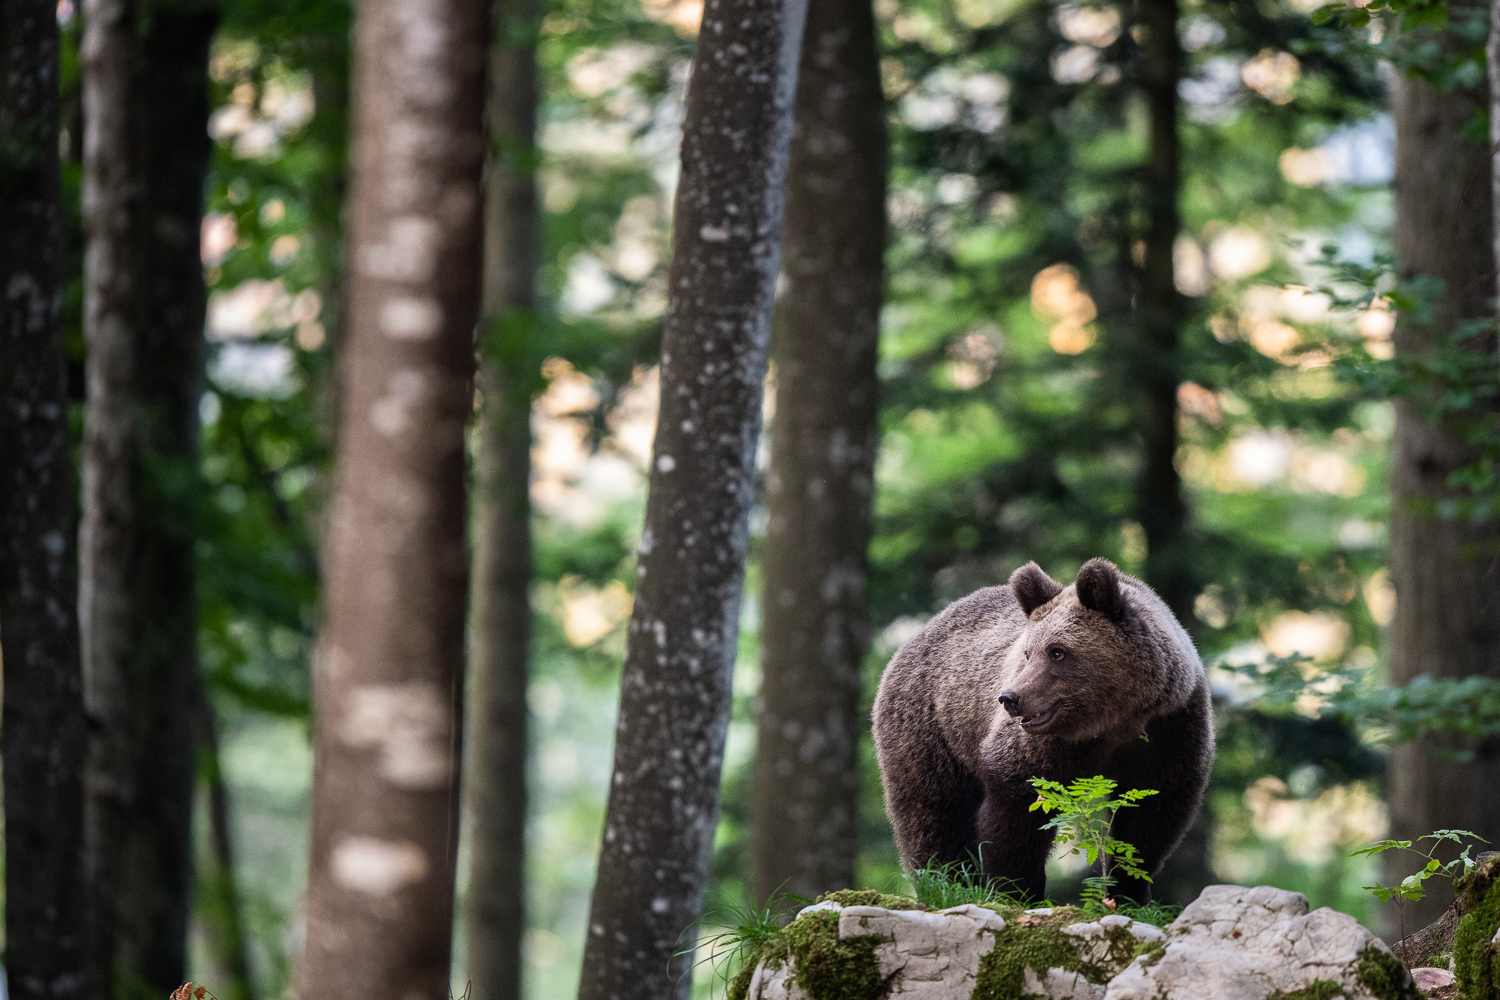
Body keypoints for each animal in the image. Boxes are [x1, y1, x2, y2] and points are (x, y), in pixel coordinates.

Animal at [876, 560, 1212, 905]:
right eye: (1027, 653)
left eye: (1057, 651)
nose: (1009, 697)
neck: (1112, 722)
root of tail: (918, 634)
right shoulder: (1042, 747)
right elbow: (1018, 815)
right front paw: (1018, 891)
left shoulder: (1169, 729)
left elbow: (1150, 817)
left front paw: (1130, 894)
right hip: (931, 727)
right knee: (933, 811)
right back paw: (946, 883)